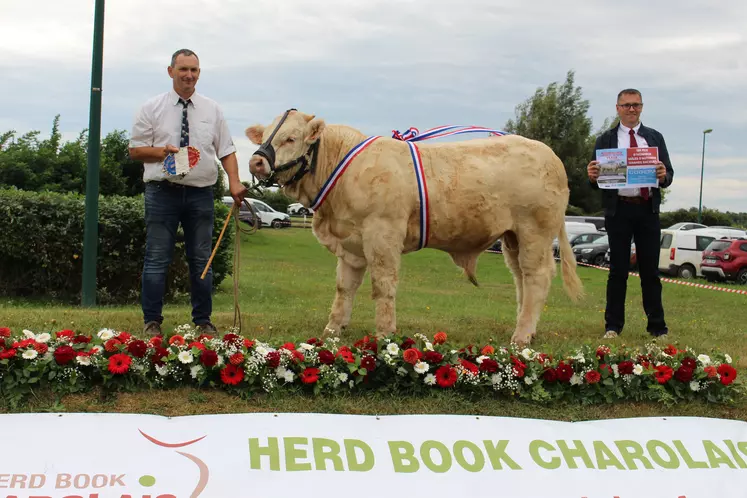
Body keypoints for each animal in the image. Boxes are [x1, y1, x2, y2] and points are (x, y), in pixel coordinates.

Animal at [247, 109, 584, 346]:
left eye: (291, 138)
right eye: (264, 137)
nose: (256, 162)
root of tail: (549, 154)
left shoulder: (382, 235)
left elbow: (383, 286)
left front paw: (384, 334)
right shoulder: (351, 243)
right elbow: (344, 288)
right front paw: (332, 330)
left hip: (534, 231)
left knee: (537, 277)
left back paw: (521, 336)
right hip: (512, 238)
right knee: (521, 280)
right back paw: (527, 330)